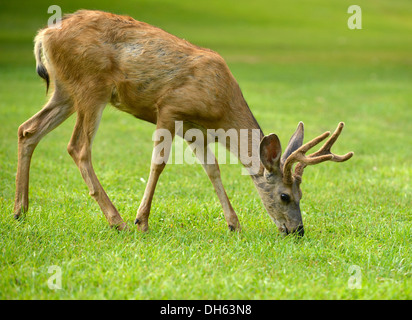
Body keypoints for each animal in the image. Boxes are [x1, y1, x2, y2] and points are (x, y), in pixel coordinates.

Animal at [13, 10, 354, 235]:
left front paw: (234, 224)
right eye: (285, 196)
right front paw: (142, 221)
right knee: (78, 147)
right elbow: (158, 164)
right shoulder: (169, 108)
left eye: (302, 195)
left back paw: (20, 210)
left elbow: (212, 169)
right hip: (91, 86)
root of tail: (43, 35)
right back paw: (117, 220)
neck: (221, 107)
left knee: (28, 129)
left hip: (64, 90)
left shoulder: (195, 130)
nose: (297, 230)